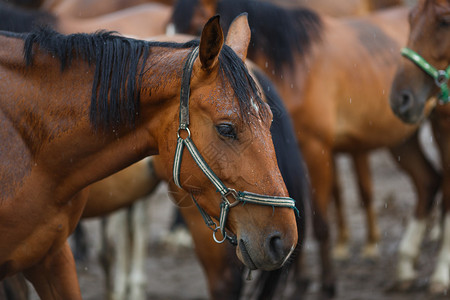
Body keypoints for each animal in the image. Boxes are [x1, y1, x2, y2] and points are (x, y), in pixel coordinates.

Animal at [171, 0, 442, 296]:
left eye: (197, 25)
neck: (297, 67)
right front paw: (300, 281)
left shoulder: (316, 149)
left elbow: (320, 222)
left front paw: (327, 284)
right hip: (403, 139)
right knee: (428, 182)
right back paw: (405, 269)